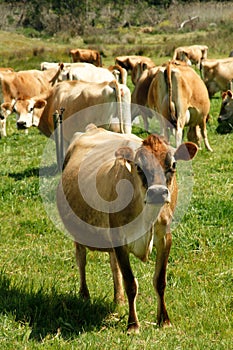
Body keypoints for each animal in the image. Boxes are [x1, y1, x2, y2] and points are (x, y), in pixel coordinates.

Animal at [56, 123, 198, 334]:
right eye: (139, 166)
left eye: (173, 165)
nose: (157, 192)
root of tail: (93, 128)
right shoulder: (119, 239)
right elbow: (131, 282)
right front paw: (133, 324)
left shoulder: (165, 238)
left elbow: (160, 281)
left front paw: (164, 320)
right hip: (77, 230)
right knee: (81, 259)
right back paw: (84, 294)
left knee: (113, 265)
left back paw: (119, 298)